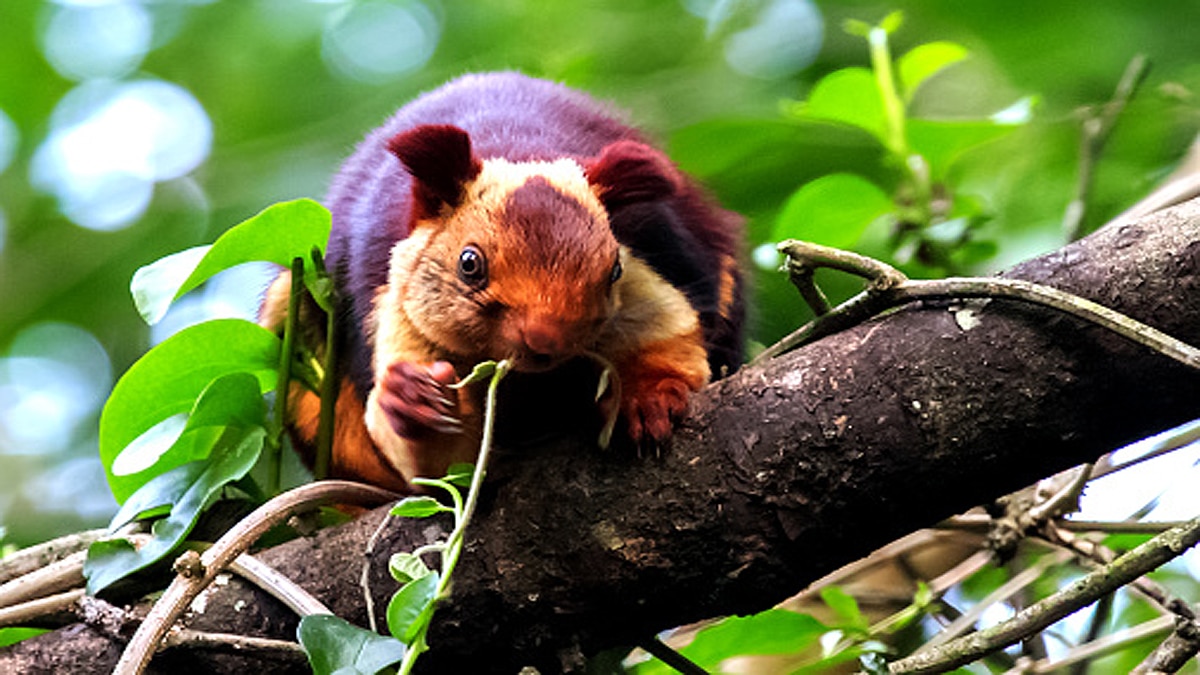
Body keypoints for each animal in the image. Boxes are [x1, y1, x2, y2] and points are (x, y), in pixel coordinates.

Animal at [262, 72, 744, 492]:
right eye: (469, 263)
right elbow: (440, 469)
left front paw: (648, 397)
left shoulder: (652, 257)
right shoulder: (394, 307)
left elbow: (671, 334)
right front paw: (410, 401)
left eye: (613, 273)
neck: (517, 149)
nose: (545, 339)